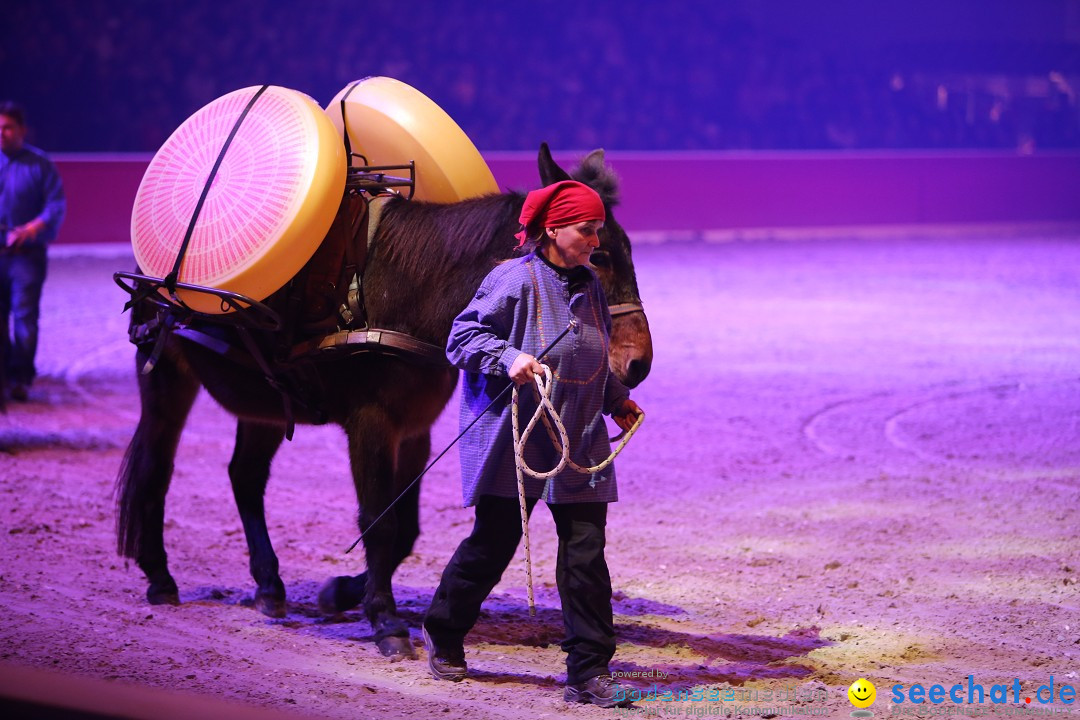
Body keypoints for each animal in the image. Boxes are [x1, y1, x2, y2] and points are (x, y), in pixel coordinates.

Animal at [113, 144, 652, 660]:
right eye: (599, 256)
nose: (638, 364)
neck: (407, 287)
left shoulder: (414, 430)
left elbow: (405, 526)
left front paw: (343, 592)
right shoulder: (372, 424)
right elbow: (379, 520)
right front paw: (386, 621)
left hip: (263, 401)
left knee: (245, 477)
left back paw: (268, 584)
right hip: (166, 380)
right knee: (156, 469)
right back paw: (160, 577)